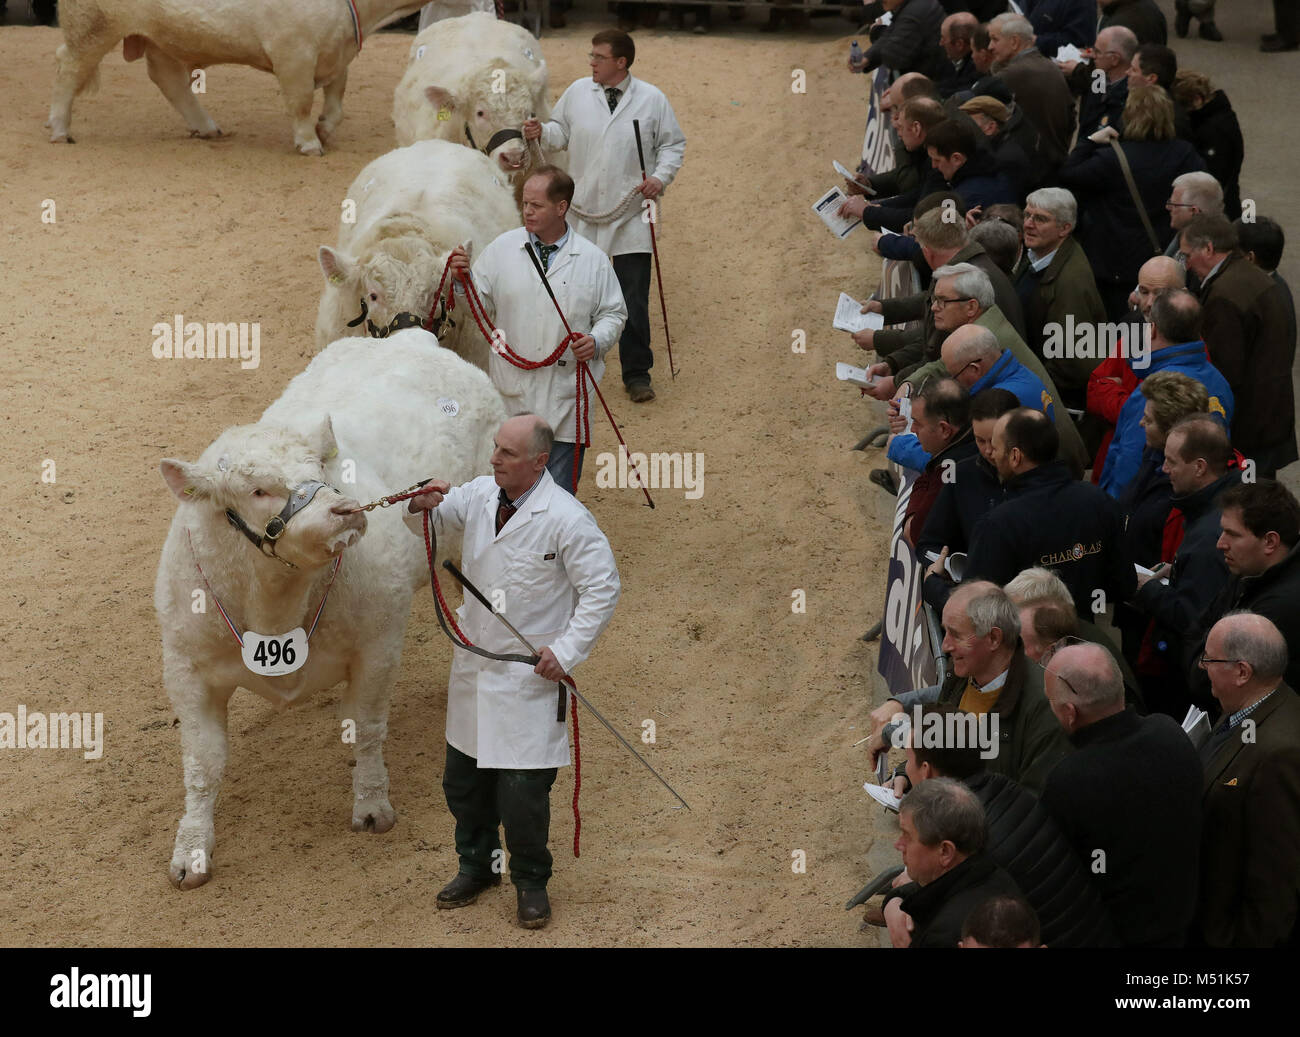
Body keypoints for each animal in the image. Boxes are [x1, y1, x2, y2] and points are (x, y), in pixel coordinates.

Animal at [49, 0, 426, 154]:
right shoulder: (293, 52)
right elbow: (301, 103)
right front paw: (309, 143)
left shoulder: (339, 48)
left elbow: (336, 105)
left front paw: (322, 131)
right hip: (92, 25)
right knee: (68, 67)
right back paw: (59, 129)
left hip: (164, 37)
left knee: (168, 79)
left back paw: (207, 127)